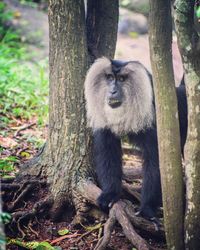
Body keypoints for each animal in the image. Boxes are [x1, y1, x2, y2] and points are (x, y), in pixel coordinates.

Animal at [83, 57, 187, 220]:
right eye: (110, 78)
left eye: (121, 79)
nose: (112, 91)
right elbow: (108, 153)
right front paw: (110, 194)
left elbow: (156, 162)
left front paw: (147, 209)